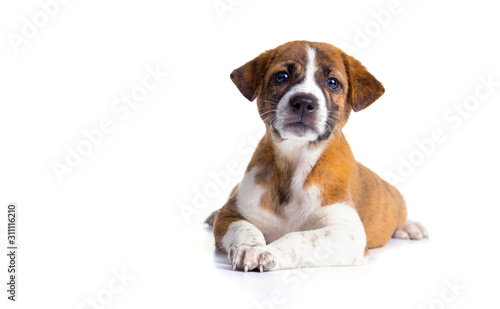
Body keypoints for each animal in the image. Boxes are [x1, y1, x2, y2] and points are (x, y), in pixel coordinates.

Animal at [205, 39, 428, 270]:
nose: (304, 102)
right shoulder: (232, 214)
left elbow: (299, 237)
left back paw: (411, 227)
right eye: (282, 76)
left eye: (332, 82)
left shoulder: (348, 232)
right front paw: (250, 247)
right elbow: (246, 228)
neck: (294, 163)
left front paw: (266, 251)